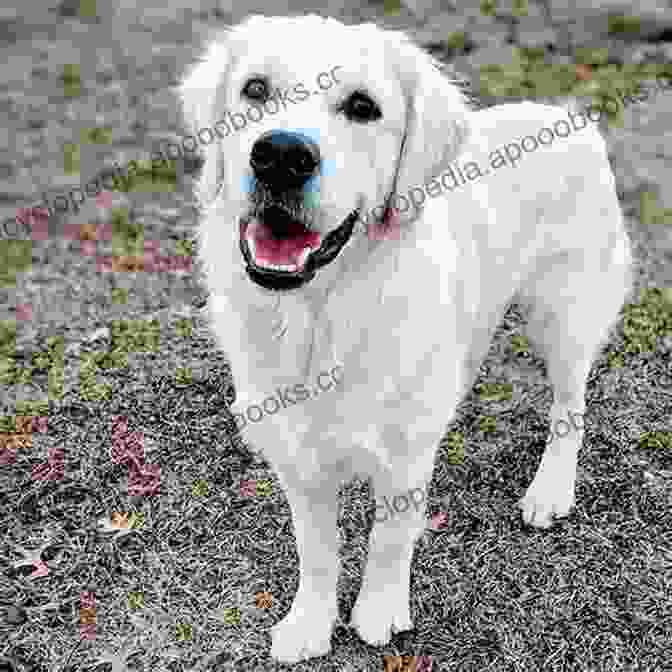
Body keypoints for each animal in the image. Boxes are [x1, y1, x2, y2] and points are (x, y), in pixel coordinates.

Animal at [178, 14, 632, 660]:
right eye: (255, 89)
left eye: (363, 107)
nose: (282, 155)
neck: (322, 319)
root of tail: (569, 117)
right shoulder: (299, 458)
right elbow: (316, 549)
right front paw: (310, 622)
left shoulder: (403, 459)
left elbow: (390, 537)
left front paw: (379, 613)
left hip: (564, 319)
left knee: (570, 409)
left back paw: (550, 490)